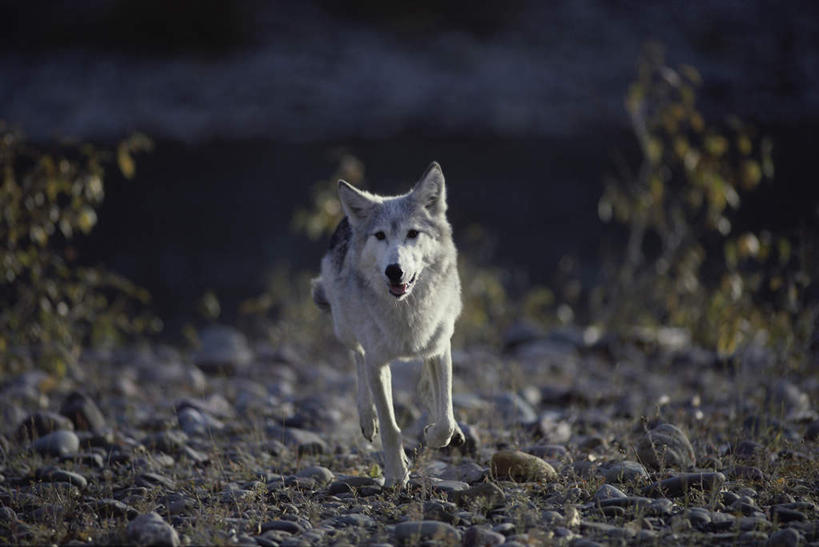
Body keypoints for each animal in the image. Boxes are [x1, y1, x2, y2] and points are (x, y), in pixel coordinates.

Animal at [314, 163, 464, 488]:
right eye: (380, 236)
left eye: (412, 233)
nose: (394, 271)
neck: (406, 312)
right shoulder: (378, 363)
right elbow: (390, 427)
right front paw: (396, 476)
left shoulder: (440, 347)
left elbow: (445, 417)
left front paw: (435, 435)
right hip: (345, 330)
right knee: (357, 360)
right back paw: (366, 419)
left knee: (430, 389)